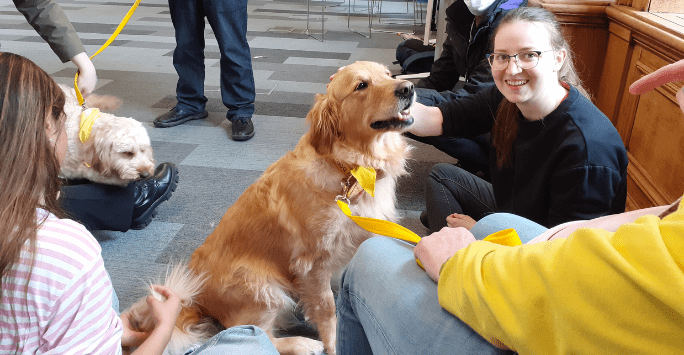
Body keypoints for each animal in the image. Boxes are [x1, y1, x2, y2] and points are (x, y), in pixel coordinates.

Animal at [122, 62, 414, 355]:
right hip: (263, 290)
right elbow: (327, 310)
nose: (409, 88)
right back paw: (303, 342)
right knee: (258, 334)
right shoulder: (313, 264)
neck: (349, 167)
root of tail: (196, 298)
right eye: (361, 85)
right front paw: (333, 345)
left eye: (389, 75)